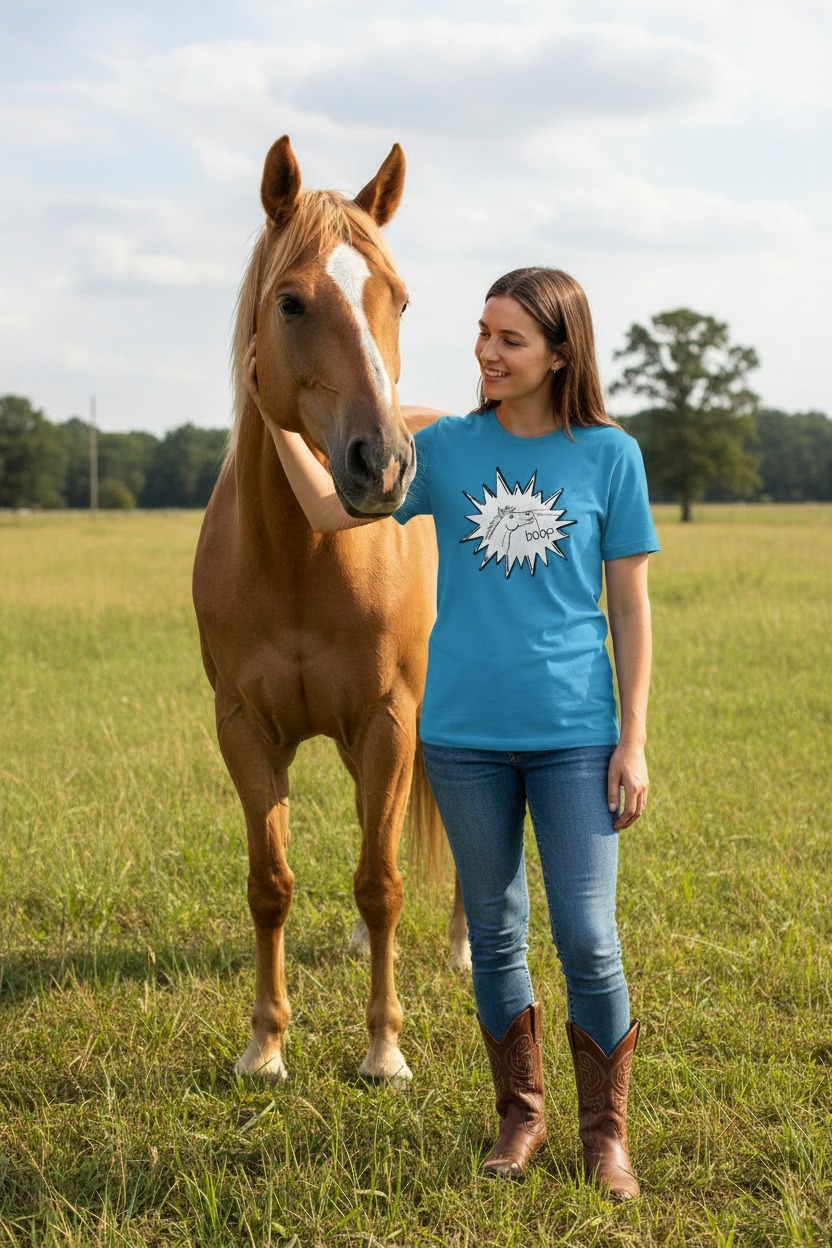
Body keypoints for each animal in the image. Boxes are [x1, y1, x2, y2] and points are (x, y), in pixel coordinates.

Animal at [193, 136, 469, 1086]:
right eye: (291, 301)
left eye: (400, 298)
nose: (380, 464)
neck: (302, 560)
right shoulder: (246, 729)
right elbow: (270, 884)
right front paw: (264, 1046)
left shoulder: (390, 717)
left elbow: (382, 881)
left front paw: (383, 1050)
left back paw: (464, 947)